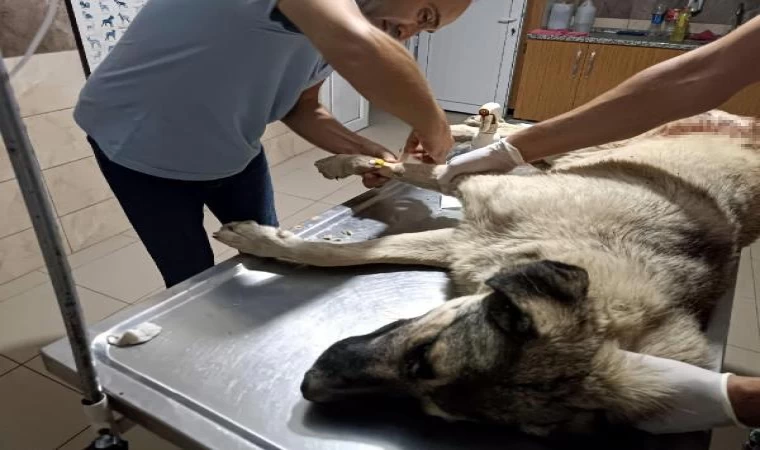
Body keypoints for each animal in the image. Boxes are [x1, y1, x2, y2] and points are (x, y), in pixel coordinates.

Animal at [212, 111, 760, 436]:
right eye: (422, 354)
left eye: (434, 410)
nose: (308, 386)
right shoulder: (478, 196)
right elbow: (411, 173)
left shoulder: (465, 246)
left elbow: (351, 254)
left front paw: (268, 241)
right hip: (595, 137)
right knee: (520, 135)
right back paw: (468, 129)